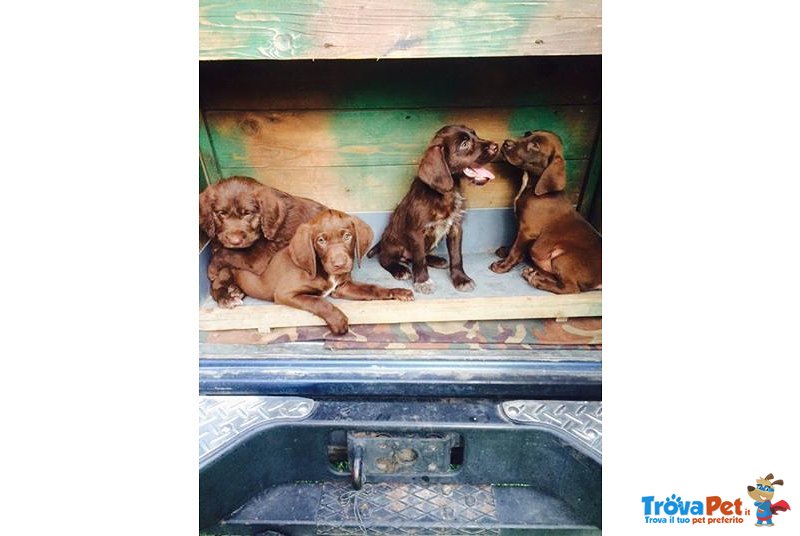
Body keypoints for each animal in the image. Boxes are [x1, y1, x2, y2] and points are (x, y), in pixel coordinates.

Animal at [199, 176, 324, 308]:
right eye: (221, 213)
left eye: (247, 213)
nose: (235, 241)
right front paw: (224, 292)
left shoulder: (258, 260)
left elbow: (227, 253)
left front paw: (212, 269)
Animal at [234, 209, 412, 336]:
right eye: (321, 240)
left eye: (347, 236)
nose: (340, 264)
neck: (323, 271)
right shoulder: (285, 293)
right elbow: (318, 301)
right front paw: (338, 320)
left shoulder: (343, 287)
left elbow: (372, 289)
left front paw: (397, 292)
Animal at [366, 124, 496, 296]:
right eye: (464, 144)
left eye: (475, 135)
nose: (496, 146)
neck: (445, 194)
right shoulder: (416, 232)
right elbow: (419, 259)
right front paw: (422, 281)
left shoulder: (456, 227)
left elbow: (456, 256)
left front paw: (461, 279)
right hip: (394, 243)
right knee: (386, 258)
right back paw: (400, 270)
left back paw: (436, 260)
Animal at [488, 132, 600, 296]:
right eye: (527, 134)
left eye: (535, 146)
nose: (506, 143)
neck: (533, 186)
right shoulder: (522, 227)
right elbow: (515, 241)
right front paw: (506, 251)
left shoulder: (528, 230)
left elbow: (516, 249)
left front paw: (503, 266)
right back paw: (533, 273)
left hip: (563, 258)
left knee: (571, 288)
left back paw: (537, 280)